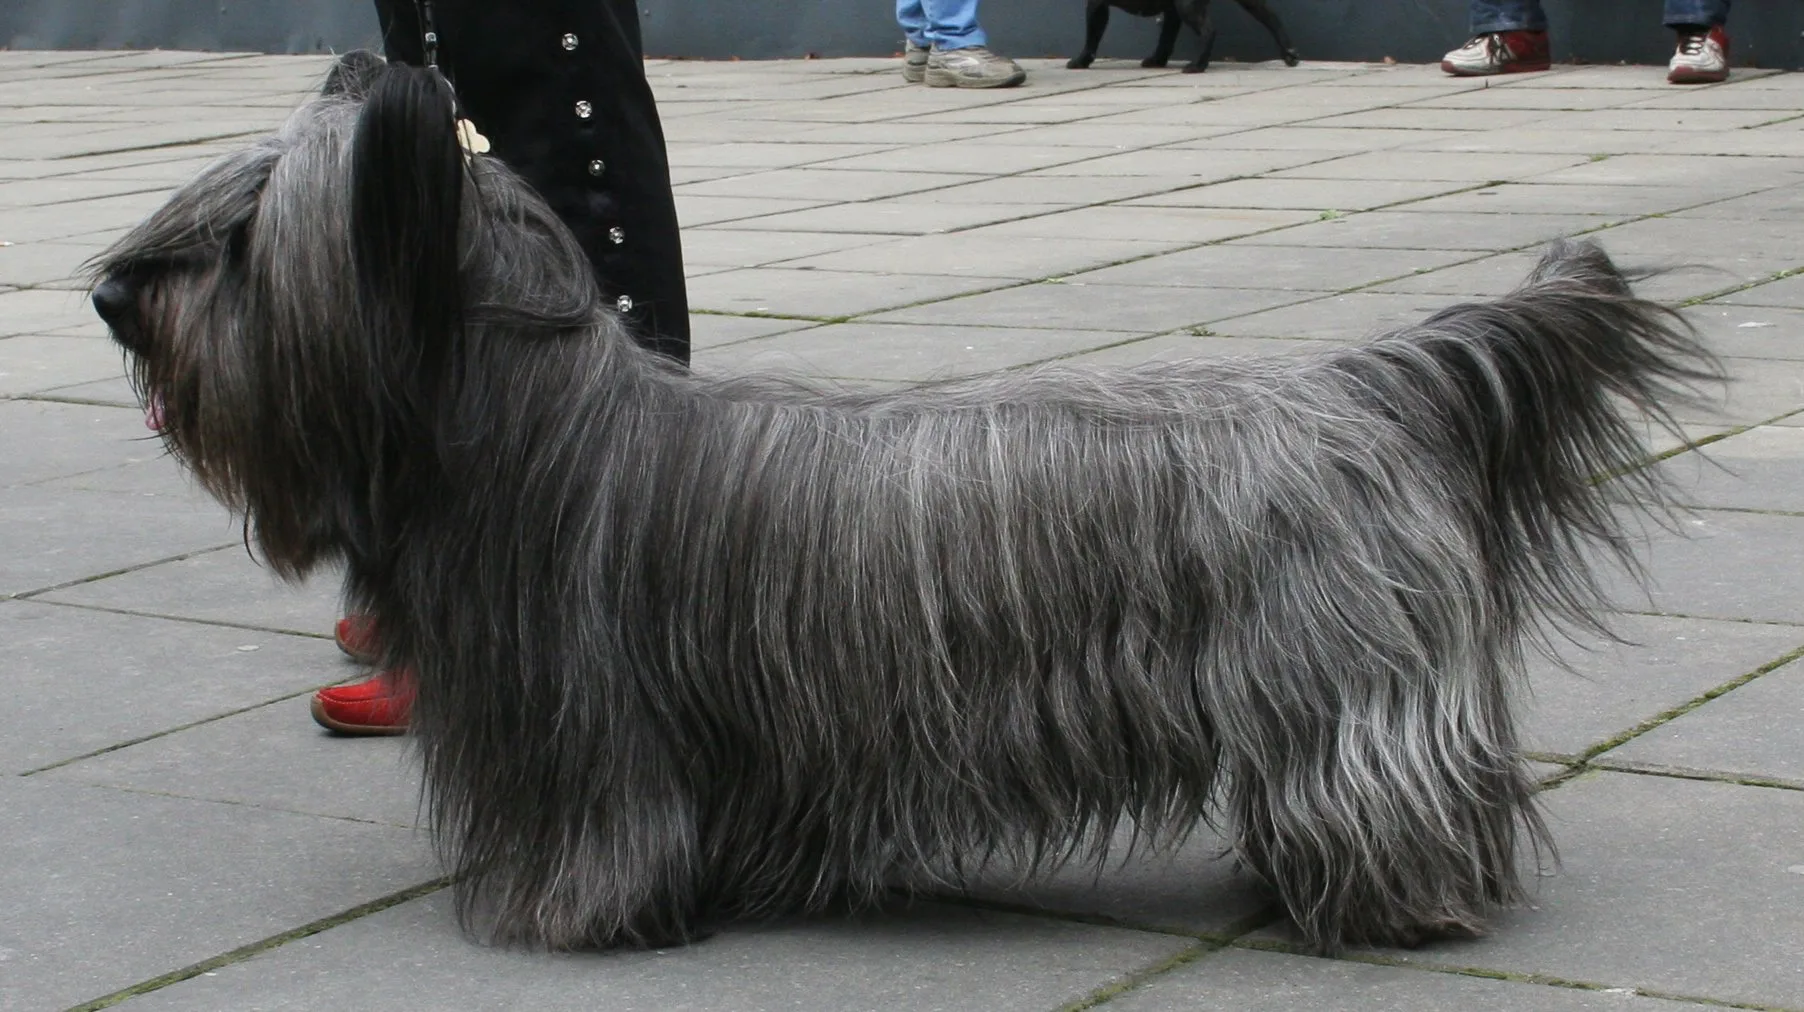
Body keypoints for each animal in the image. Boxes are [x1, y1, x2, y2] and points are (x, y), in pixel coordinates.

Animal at [91, 55, 1710, 952]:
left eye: (237, 241)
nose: (107, 294)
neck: (533, 430)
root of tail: (1365, 378)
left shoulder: (600, 729)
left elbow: (607, 838)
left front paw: (572, 918)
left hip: (1332, 682)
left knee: (1379, 780)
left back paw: (1391, 902)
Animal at [1060, 0, 1306, 72]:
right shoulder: (1171, 11)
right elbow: (1166, 38)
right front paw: (1157, 60)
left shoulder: (1097, 5)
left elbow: (1092, 36)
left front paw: (1081, 61)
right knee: (1269, 15)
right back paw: (1289, 53)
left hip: (1188, 7)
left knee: (1208, 31)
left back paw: (1197, 65)